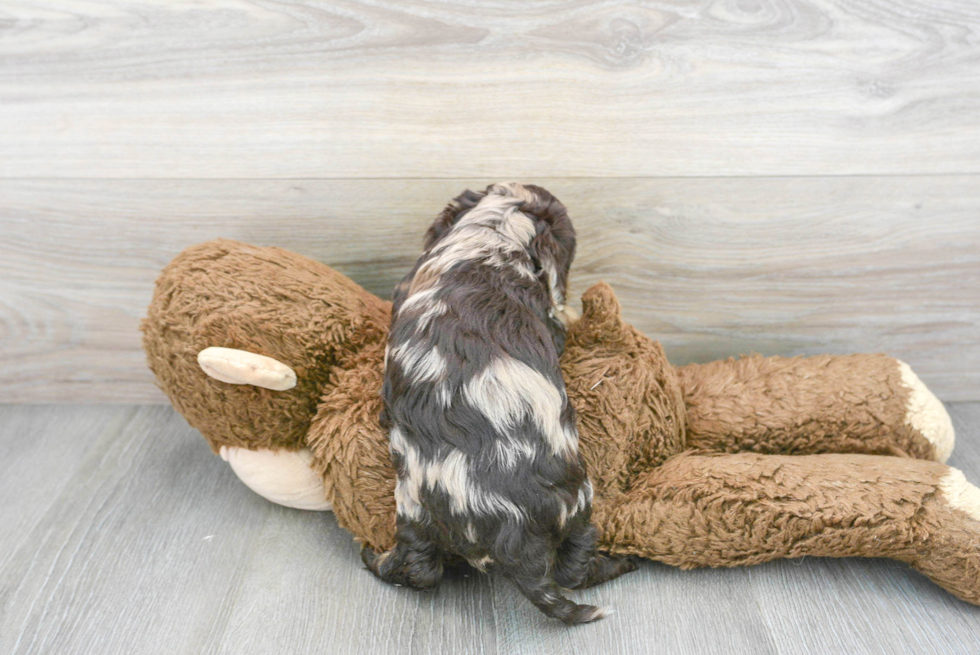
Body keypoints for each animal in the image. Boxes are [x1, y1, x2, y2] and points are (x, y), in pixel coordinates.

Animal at [360, 182, 636, 624]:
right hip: (579, 503)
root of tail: (512, 531)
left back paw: (374, 558)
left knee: (419, 569)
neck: (494, 233)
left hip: (413, 508)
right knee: (575, 567)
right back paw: (621, 562)